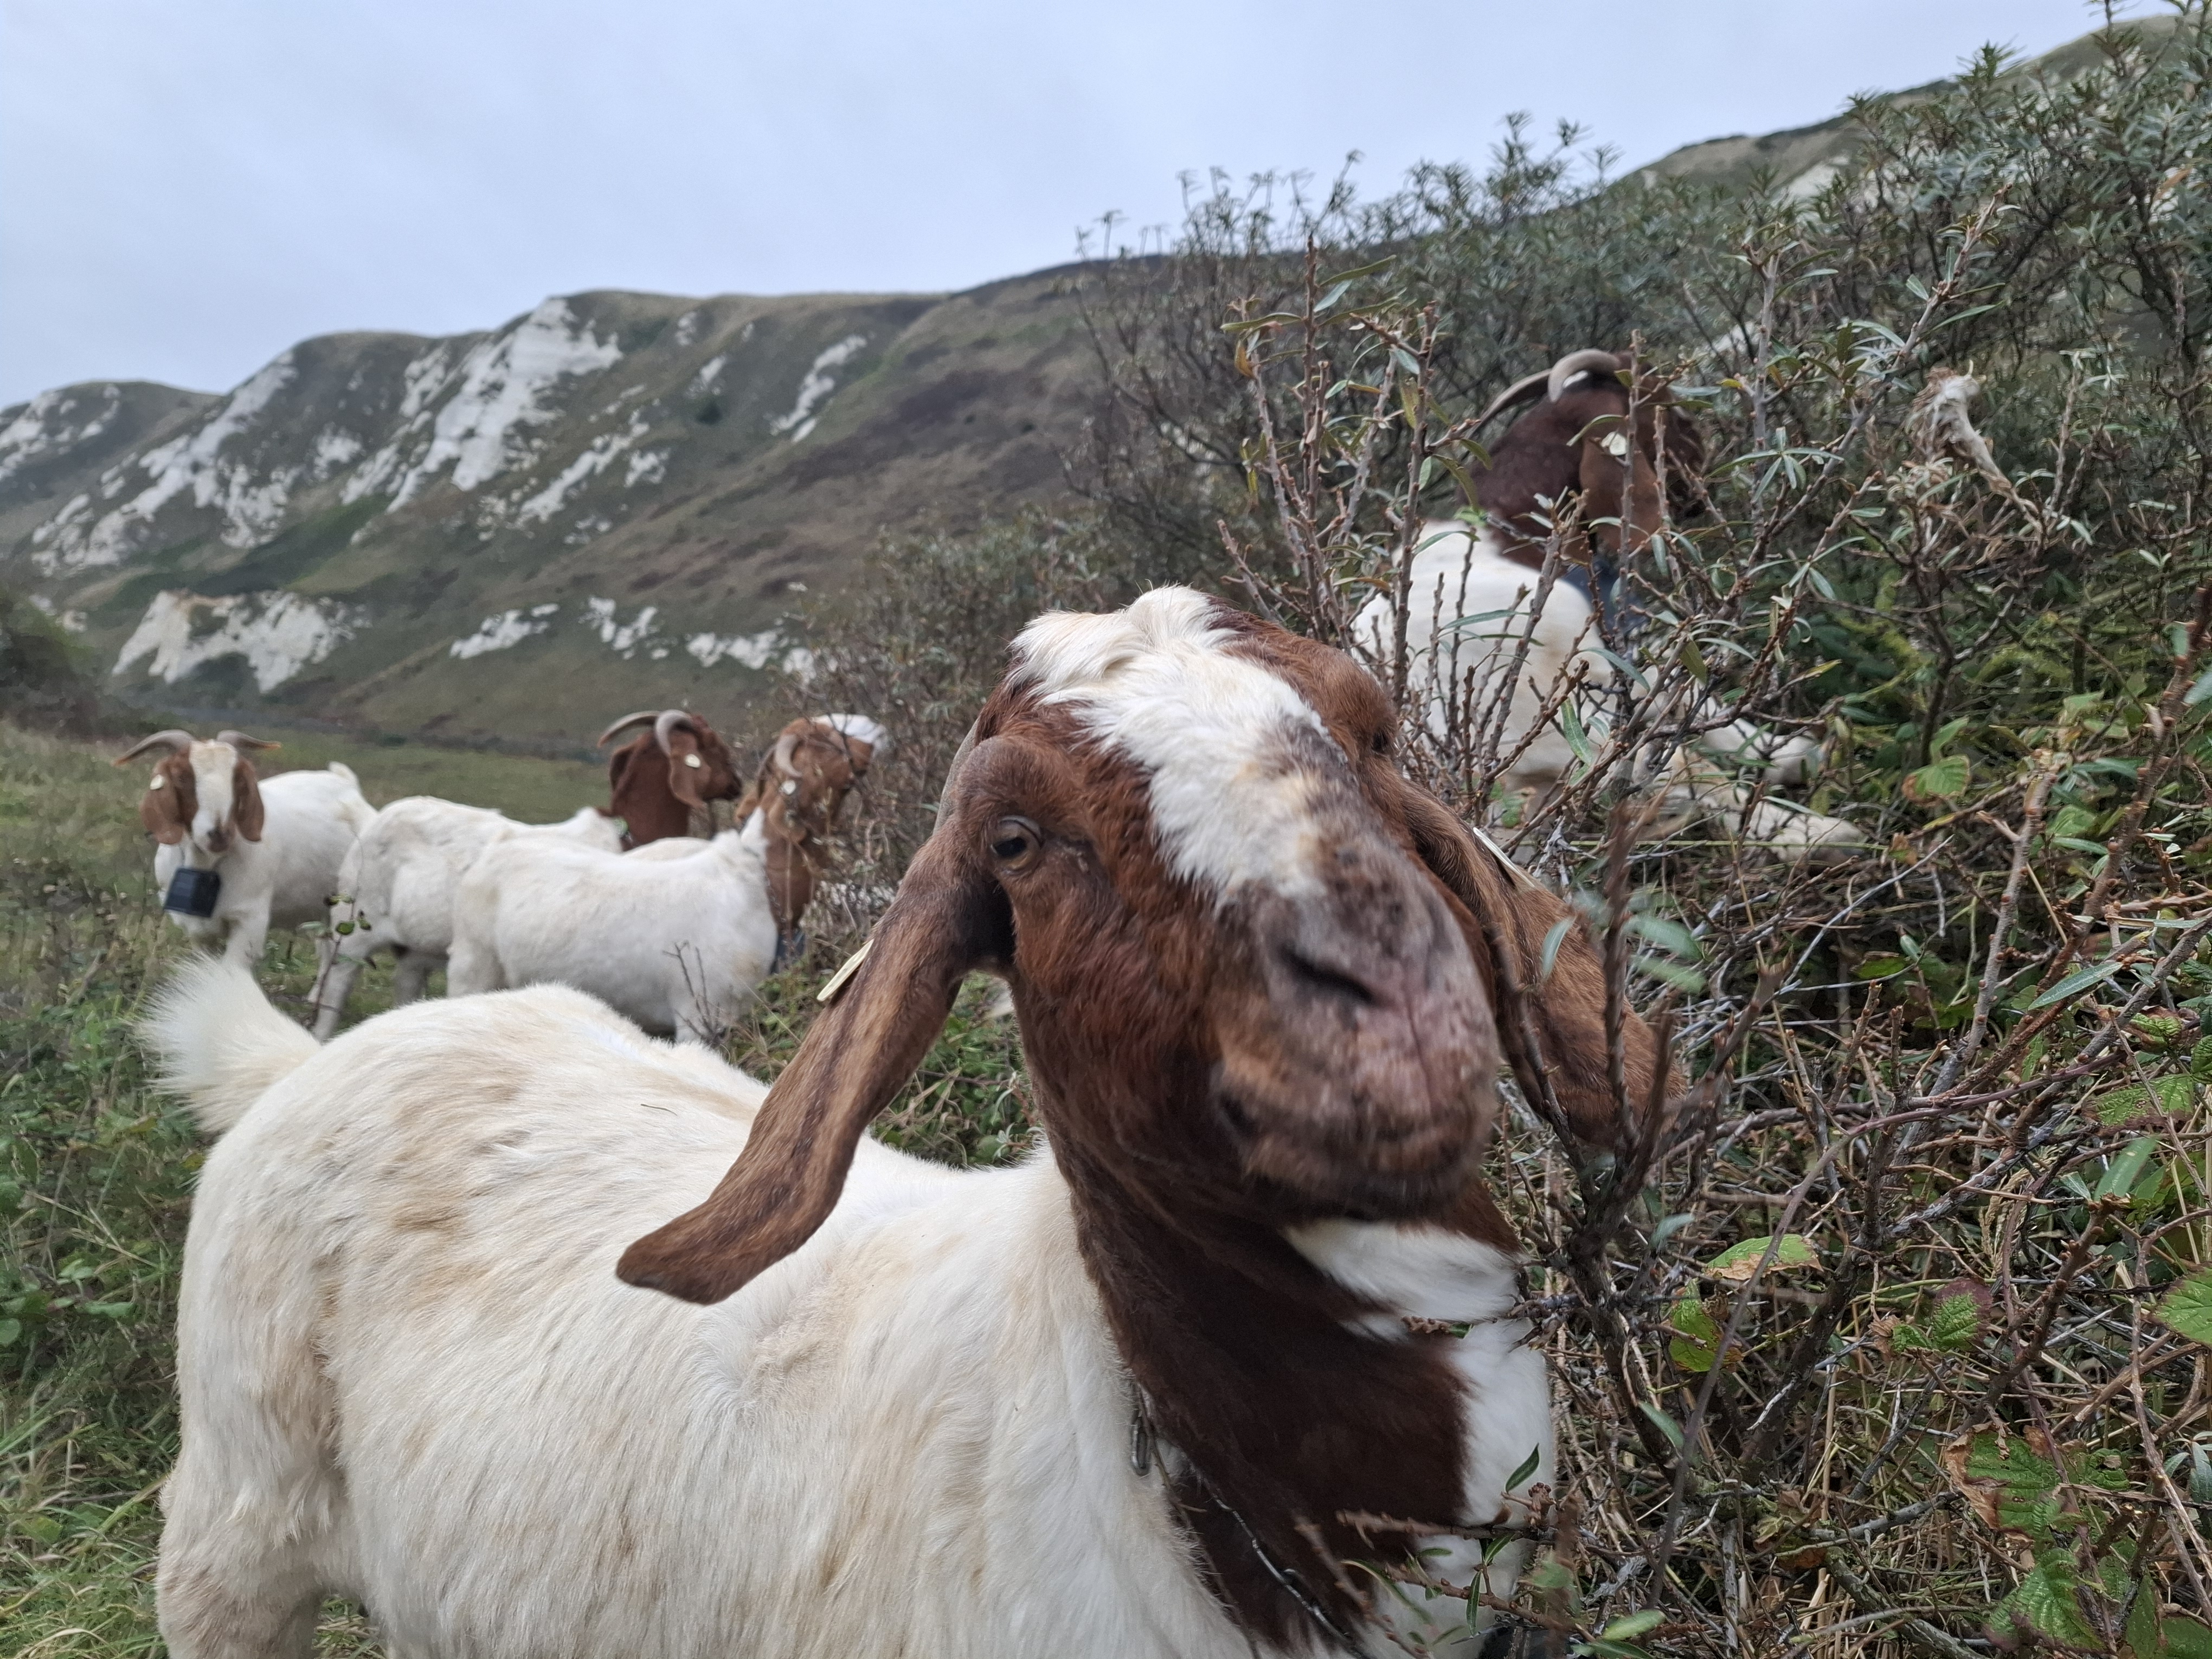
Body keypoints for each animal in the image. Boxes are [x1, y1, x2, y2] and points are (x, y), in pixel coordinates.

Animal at [116, 730, 374, 966]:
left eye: (239, 778)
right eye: (182, 777)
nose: (220, 834)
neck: (205, 865)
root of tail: (347, 782)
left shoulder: (249, 921)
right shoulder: (197, 931)